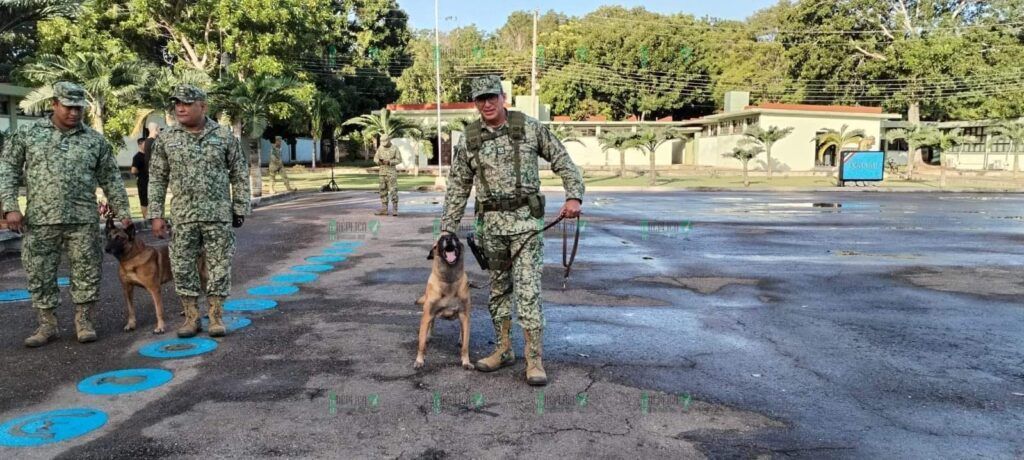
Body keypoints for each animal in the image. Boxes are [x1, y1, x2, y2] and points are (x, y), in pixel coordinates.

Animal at [413, 233, 473, 368]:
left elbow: (466, 345)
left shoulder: (464, 314)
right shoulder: (427, 314)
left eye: (455, 237)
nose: (448, 238)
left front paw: (466, 361)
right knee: (431, 324)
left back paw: (461, 339)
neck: (449, 280)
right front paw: (419, 360)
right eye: (441, 239)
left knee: (462, 330)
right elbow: (421, 344)